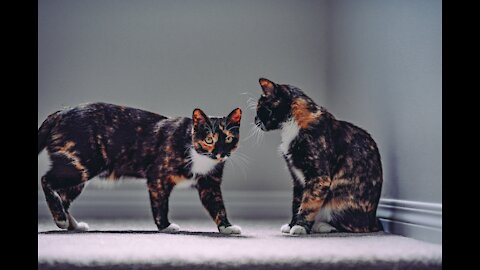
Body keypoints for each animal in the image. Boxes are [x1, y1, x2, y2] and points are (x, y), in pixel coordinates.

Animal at [36, 103, 244, 234]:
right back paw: (61, 220)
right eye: (209, 139)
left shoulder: (210, 184)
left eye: (228, 138)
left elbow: (218, 206)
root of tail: (59, 113)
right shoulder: (158, 177)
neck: (200, 156)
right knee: (46, 180)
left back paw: (72, 224)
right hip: (80, 166)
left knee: (63, 197)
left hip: (78, 173)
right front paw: (165, 227)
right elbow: (160, 205)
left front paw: (227, 227)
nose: (221, 153)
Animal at [255, 77, 382, 234]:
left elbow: (308, 203)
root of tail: (373, 221)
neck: (293, 126)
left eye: (260, 108)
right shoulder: (297, 179)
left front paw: (300, 227)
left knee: (353, 227)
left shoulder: (319, 177)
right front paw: (291, 225)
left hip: (340, 200)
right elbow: (296, 202)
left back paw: (321, 226)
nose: (255, 120)